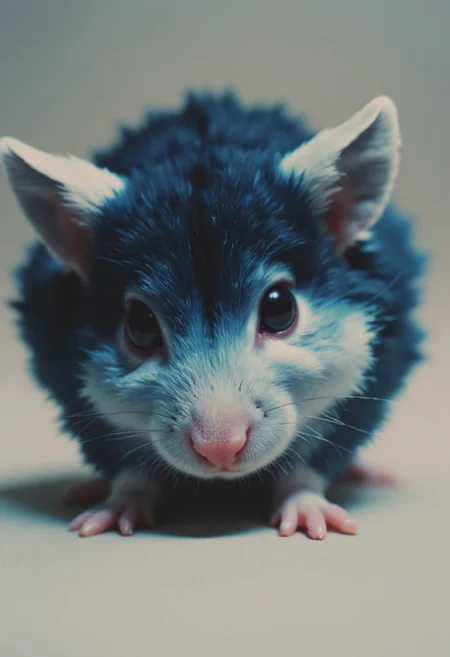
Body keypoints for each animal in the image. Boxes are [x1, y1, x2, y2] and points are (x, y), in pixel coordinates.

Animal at [1, 91, 427, 539]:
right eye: (139, 327)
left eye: (280, 309)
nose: (220, 451)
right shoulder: (81, 404)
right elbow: (131, 472)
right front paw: (113, 509)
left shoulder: (360, 396)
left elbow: (307, 467)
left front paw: (308, 512)